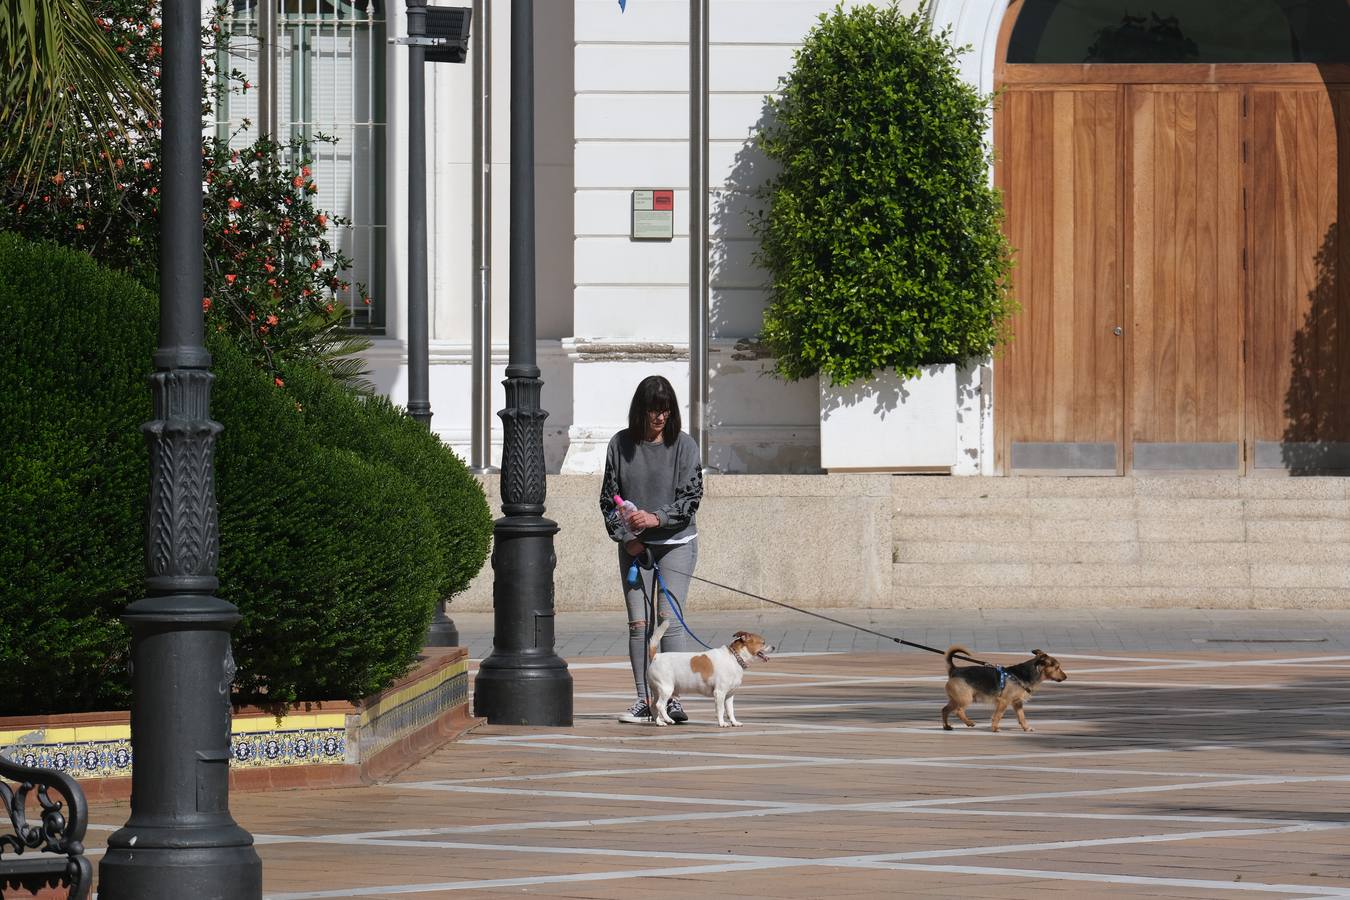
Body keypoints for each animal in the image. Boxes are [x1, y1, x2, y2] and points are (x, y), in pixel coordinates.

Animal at [645, 620, 777, 723]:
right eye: (763, 642)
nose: (774, 647)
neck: (734, 658)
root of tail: (656, 656)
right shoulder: (719, 693)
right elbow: (721, 710)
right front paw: (722, 723)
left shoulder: (729, 695)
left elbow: (730, 710)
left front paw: (734, 722)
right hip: (666, 689)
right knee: (660, 705)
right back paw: (668, 719)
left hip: (657, 691)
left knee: (653, 706)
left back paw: (659, 722)